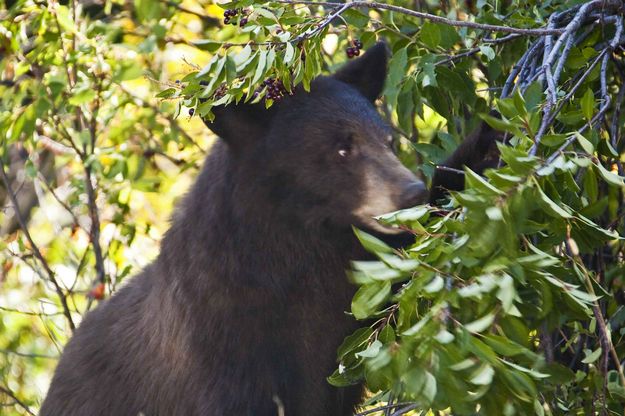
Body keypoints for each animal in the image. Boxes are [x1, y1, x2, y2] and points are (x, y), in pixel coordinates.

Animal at [41, 43, 494, 416]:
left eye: (387, 140)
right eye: (342, 148)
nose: (412, 193)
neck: (297, 252)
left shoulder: (354, 293)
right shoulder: (225, 342)